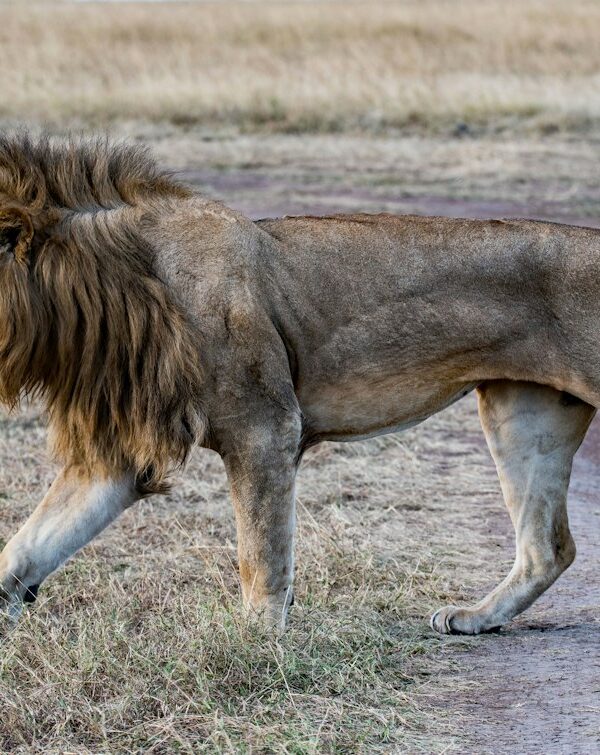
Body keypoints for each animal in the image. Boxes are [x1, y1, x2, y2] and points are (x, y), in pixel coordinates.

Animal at [0, 132, 596, 635]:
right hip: (524, 414)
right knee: (548, 548)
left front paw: (255, 649)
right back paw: (477, 617)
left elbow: (261, 557)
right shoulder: (119, 451)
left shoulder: (264, 426)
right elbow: (28, 546)